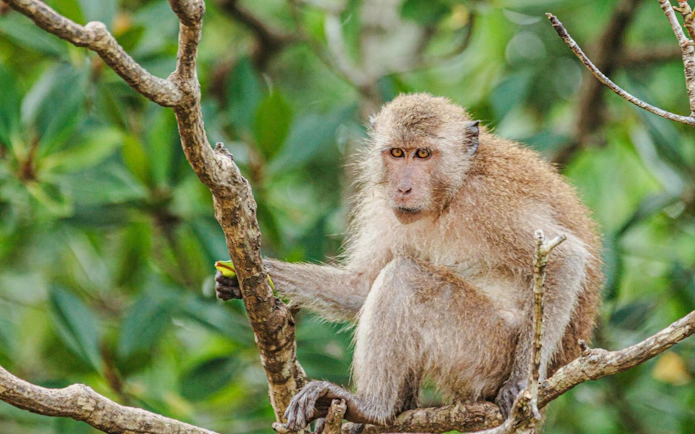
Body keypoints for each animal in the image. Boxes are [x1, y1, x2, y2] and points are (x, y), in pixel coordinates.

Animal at [216, 93, 602, 431]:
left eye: (423, 154)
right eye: (398, 153)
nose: (403, 188)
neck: (450, 194)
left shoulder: (489, 203)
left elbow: (565, 258)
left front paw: (521, 383)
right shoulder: (386, 206)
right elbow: (359, 287)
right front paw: (247, 277)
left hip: (487, 351)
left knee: (405, 277)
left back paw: (372, 407)